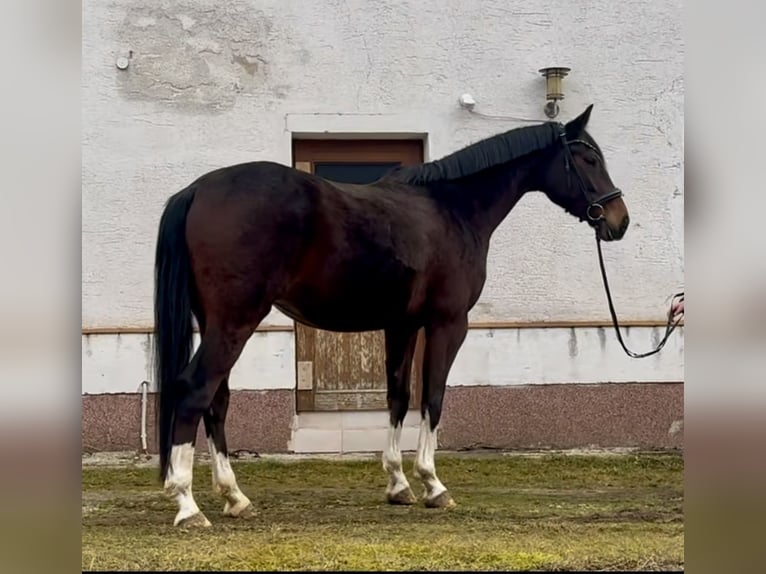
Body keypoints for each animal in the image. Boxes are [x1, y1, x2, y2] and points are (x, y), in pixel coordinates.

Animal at [153, 104, 630, 527]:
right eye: (588, 158)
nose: (619, 220)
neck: (452, 208)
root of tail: (197, 190)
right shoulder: (447, 324)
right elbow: (433, 397)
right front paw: (433, 485)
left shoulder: (401, 325)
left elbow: (399, 396)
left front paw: (398, 485)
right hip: (235, 323)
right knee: (195, 391)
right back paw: (188, 505)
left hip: (217, 323)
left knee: (217, 400)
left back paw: (235, 497)